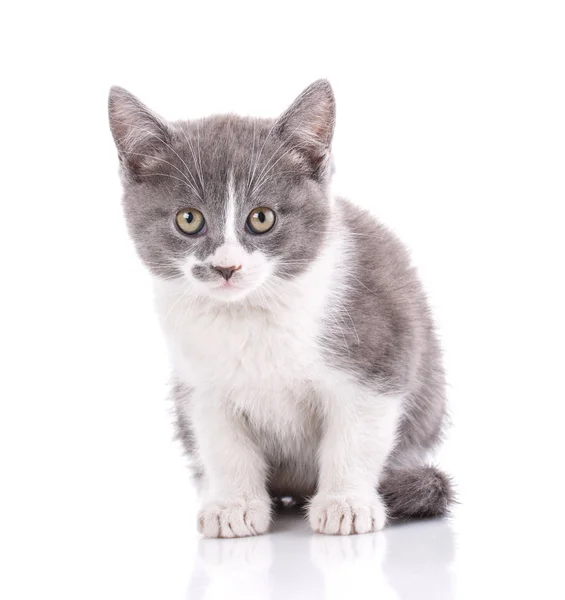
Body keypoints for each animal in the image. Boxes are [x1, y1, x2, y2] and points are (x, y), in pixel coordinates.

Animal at [108, 81, 452, 540]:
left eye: (261, 218)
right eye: (188, 219)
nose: (227, 266)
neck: (250, 313)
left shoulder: (379, 346)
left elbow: (357, 434)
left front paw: (345, 503)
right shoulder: (200, 384)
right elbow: (223, 445)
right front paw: (234, 505)